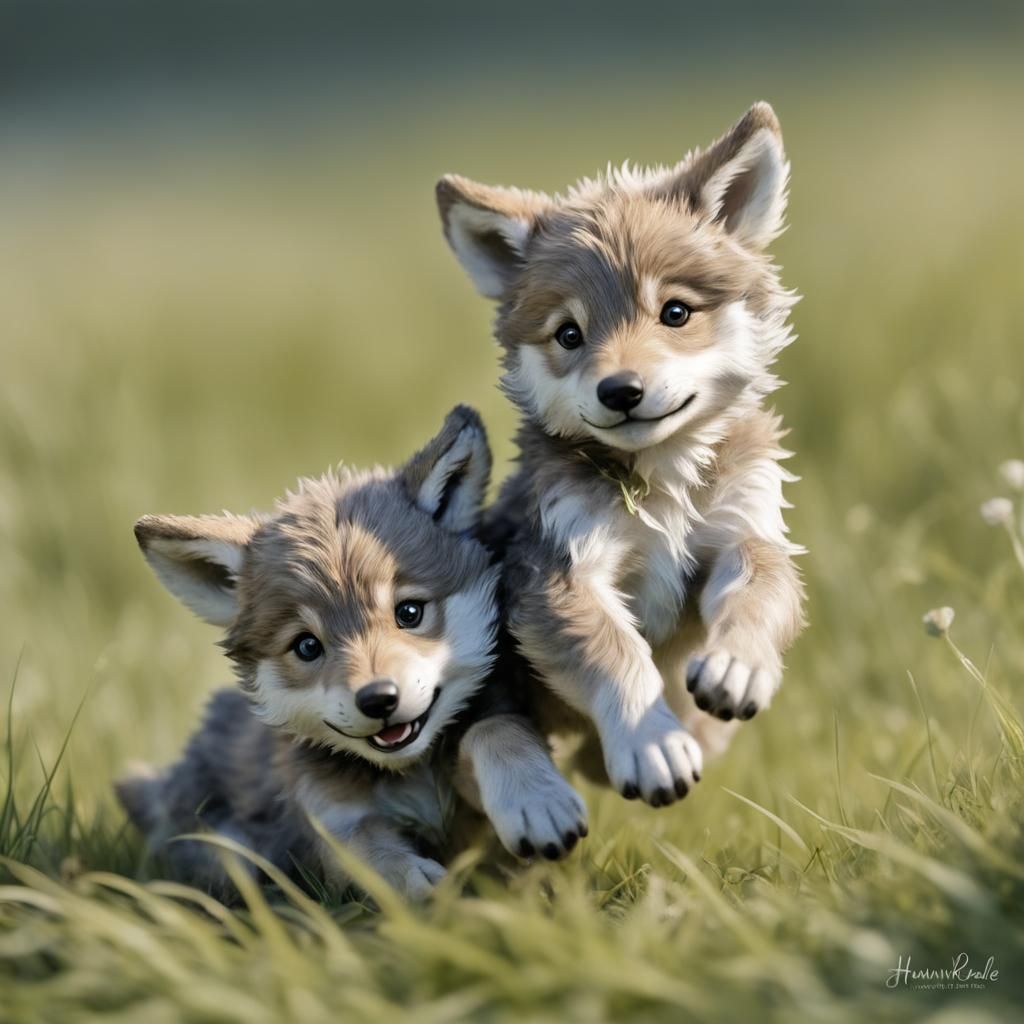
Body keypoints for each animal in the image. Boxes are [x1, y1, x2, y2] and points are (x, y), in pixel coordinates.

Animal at [115, 406, 587, 900]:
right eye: (307, 646)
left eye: (409, 612)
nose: (378, 699)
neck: (410, 772)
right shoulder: (329, 820)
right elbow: (369, 852)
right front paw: (418, 884)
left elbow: (494, 732)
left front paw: (535, 799)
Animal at [436, 103, 806, 808]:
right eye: (569, 335)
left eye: (676, 312)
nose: (621, 390)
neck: (661, 487)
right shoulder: (560, 570)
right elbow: (617, 655)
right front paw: (651, 746)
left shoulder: (745, 530)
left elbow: (758, 589)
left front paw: (737, 666)